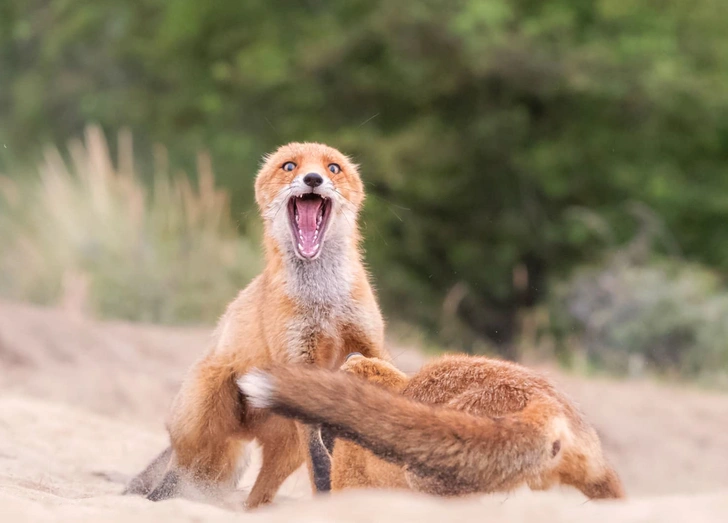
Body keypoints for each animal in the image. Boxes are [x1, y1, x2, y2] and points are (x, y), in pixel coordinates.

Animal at [122, 142, 390, 508]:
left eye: (333, 168)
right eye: (290, 166)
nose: (313, 178)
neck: (325, 300)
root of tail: (244, 432)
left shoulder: (369, 344)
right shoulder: (299, 359)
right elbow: (320, 459)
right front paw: (328, 486)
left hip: (283, 451)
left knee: (257, 497)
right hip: (201, 416)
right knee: (179, 467)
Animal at [239, 354, 624, 502]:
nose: (317, 433)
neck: (400, 387)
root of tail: (540, 397)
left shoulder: (350, 484)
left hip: (428, 479)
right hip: (601, 481)